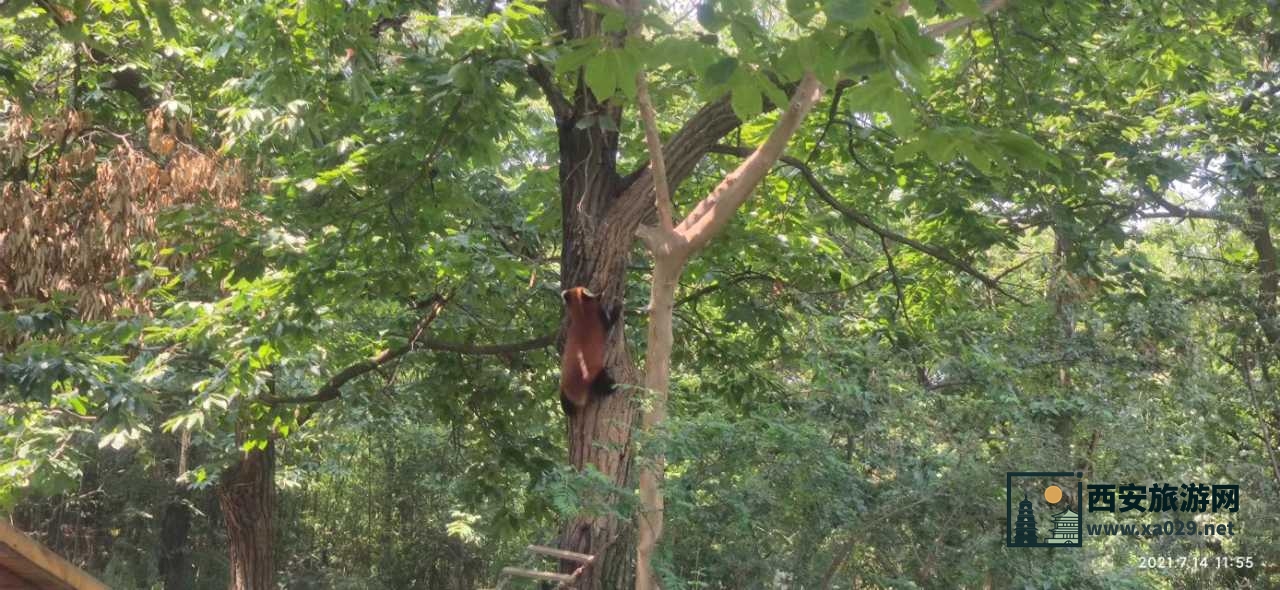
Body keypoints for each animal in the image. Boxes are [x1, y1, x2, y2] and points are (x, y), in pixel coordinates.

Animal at [563, 285, 616, 414]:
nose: (600, 293)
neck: (581, 314)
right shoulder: (600, 320)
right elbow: (610, 323)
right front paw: (618, 309)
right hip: (596, 375)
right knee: (604, 384)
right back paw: (613, 386)